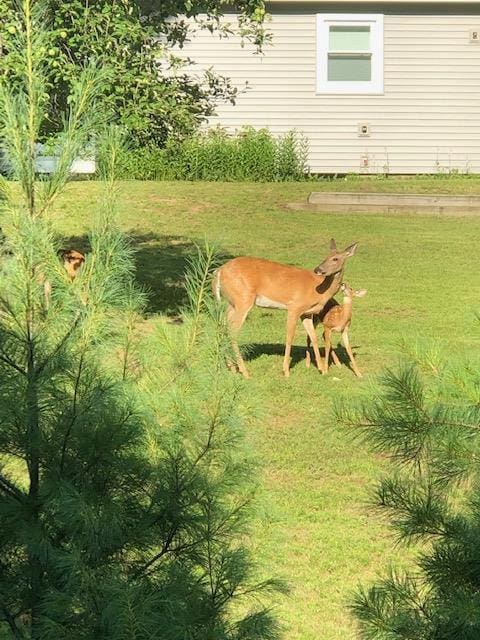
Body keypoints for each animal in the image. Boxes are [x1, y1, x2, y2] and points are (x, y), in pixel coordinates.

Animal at [213, 240, 356, 380]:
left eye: (335, 258)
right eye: (326, 257)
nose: (318, 269)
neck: (318, 289)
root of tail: (219, 271)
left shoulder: (306, 313)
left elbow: (313, 337)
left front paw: (322, 369)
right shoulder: (294, 307)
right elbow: (289, 337)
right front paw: (286, 371)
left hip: (231, 303)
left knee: (223, 326)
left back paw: (231, 368)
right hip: (243, 299)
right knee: (233, 331)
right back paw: (245, 372)